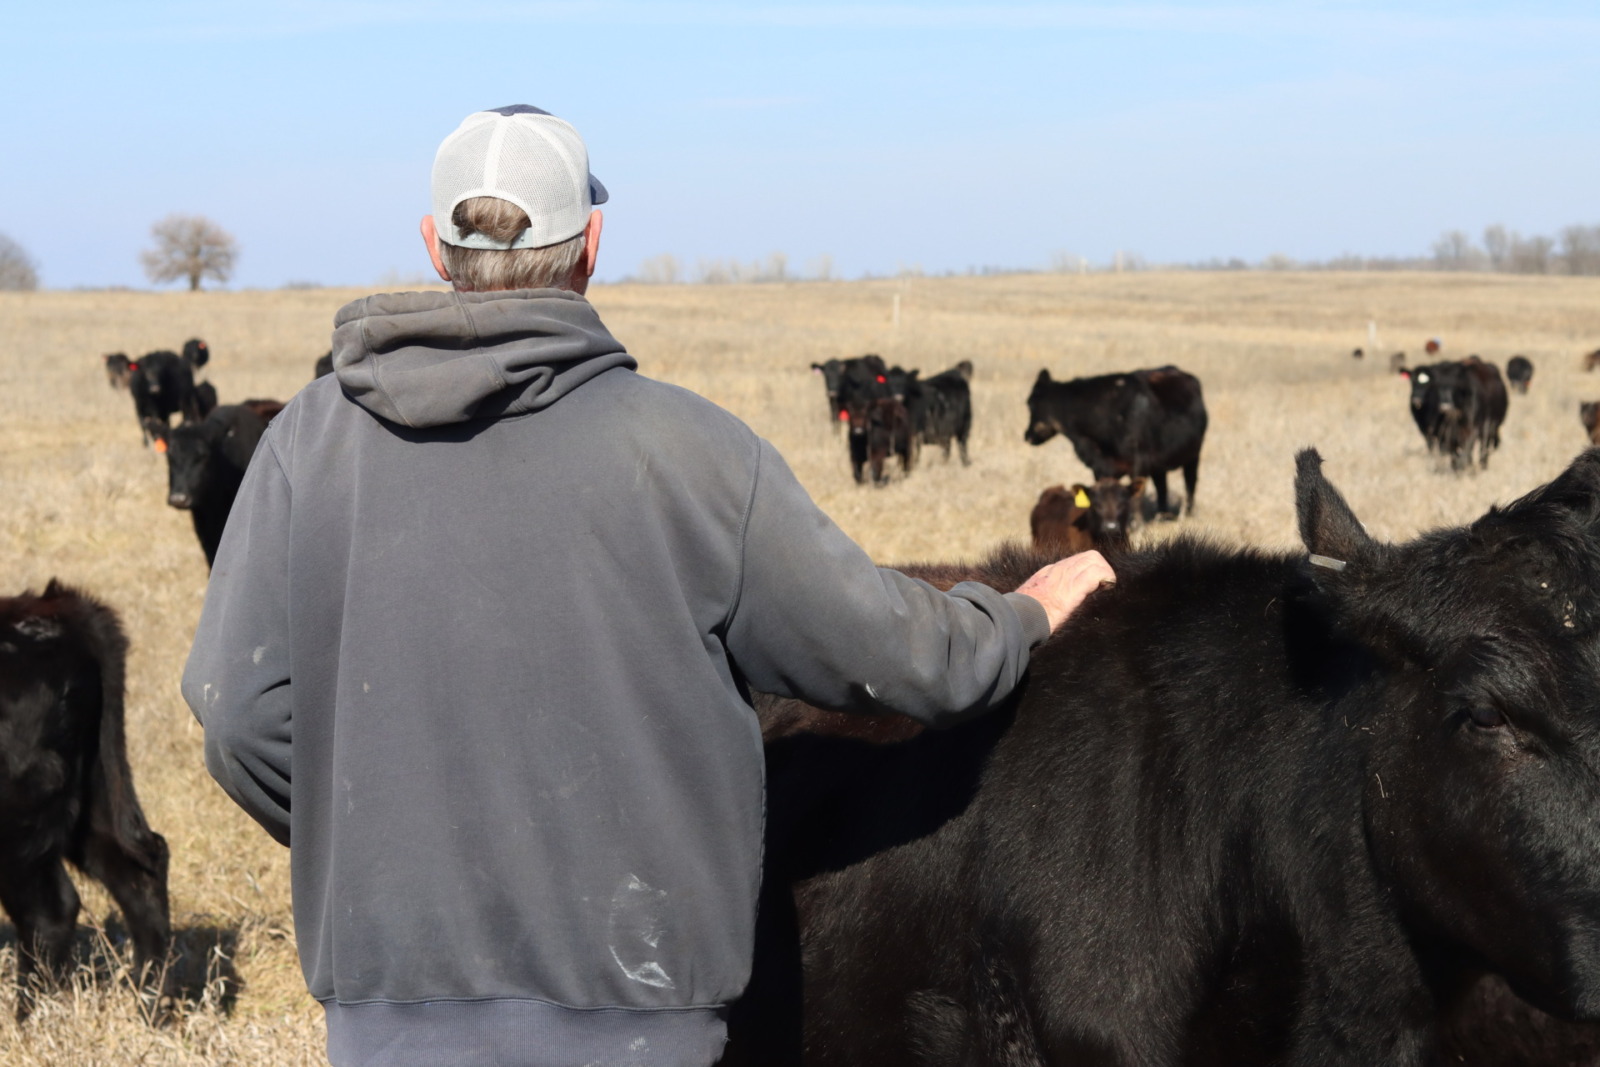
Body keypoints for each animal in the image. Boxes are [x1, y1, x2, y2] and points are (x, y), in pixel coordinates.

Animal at [0, 581, 171, 1021]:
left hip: (18, 815)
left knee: (50, 912)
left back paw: (32, 1023)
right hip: (96, 788)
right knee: (139, 873)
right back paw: (151, 1009)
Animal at [1024, 366, 1206, 518]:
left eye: (1031, 404)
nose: (1027, 435)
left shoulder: (1139, 463)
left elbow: (1136, 497)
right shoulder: (1100, 468)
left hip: (1193, 455)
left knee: (1190, 482)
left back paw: (1187, 513)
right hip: (1159, 464)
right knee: (1162, 486)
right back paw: (1162, 514)